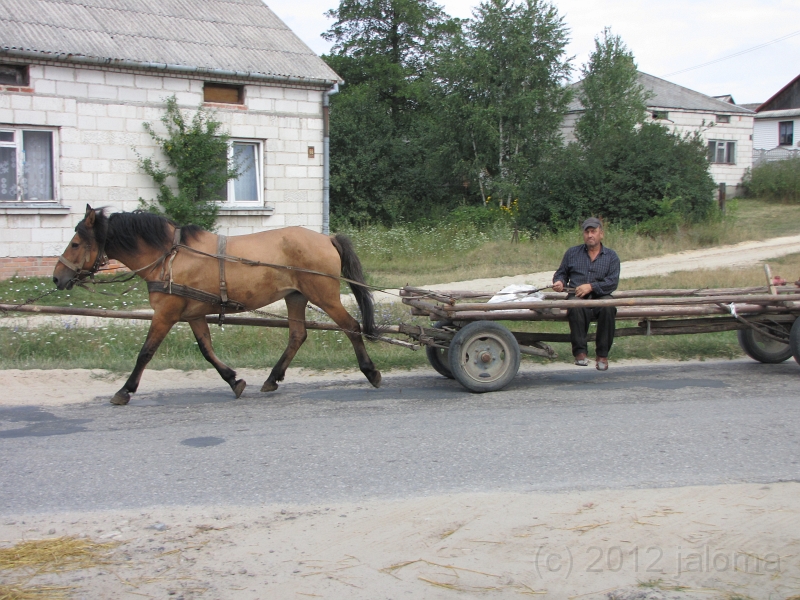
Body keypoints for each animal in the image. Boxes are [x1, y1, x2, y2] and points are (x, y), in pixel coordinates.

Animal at [54, 204, 384, 406]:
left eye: (75, 243)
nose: (57, 277)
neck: (169, 257)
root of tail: (327, 238)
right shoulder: (193, 314)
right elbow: (207, 350)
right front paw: (233, 380)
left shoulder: (165, 314)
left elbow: (146, 352)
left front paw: (124, 391)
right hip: (295, 296)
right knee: (297, 336)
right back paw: (272, 378)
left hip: (324, 296)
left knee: (351, 327)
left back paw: (371, 372)